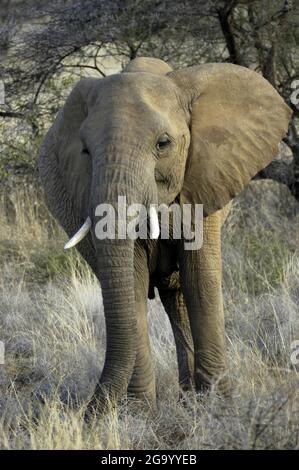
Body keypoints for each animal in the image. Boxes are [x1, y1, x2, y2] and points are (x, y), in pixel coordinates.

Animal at [38, 56, 292, 414]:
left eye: (163, 144)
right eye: (85, 151)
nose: (87, 414)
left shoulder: (206, 179)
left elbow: (200, 278)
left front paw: (218, 408)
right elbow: (131, 283)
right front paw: (139, 413)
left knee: (181, 293)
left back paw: (191, 398)